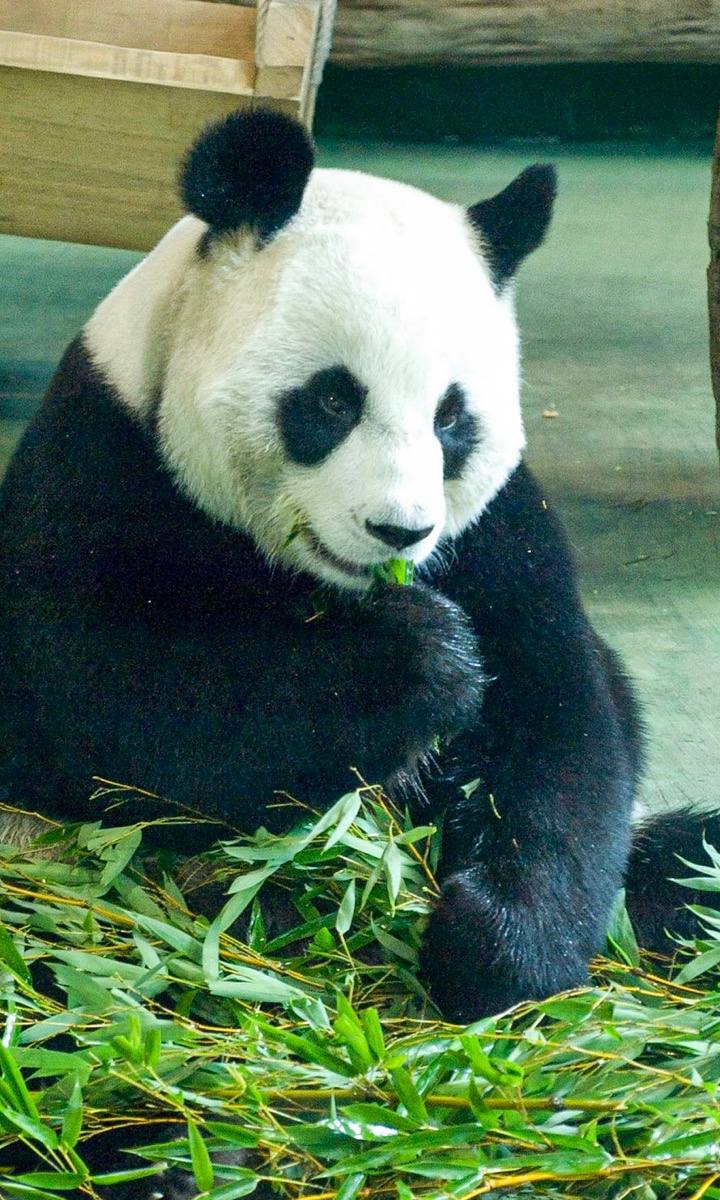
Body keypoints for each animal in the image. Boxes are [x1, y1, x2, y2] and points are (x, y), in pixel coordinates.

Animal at [0, 109, 714, 1043]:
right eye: (334, 400)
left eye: (451, 418)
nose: (398, 530)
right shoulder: (101, 464)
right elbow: (115, 705)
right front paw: (421, 661)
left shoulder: (497, 533)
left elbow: (561, 722)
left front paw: (494, 949)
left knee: (683, 858)